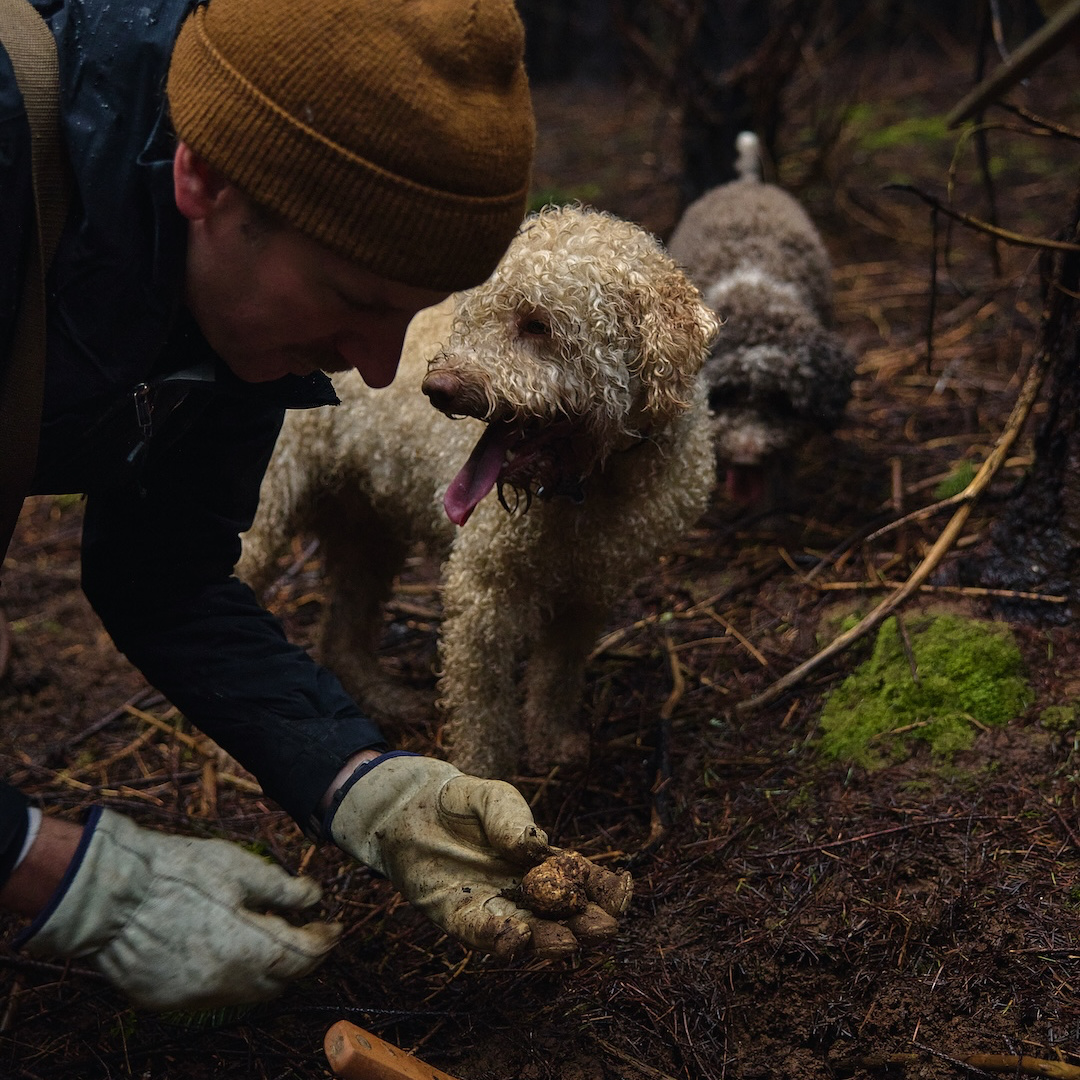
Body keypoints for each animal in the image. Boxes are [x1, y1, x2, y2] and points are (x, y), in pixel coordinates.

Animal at [240, 203, 721, 777]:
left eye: (537, 324)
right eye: (471, 317)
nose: (437, 389)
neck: (596, 482)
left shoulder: (589, 589)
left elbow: (558, 672)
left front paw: (553, 741)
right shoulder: (480, 593)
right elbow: (482, 706)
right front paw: (482, 779)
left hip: (366, 522)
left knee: (342, 628)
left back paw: (385, 698)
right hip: (266, 508)